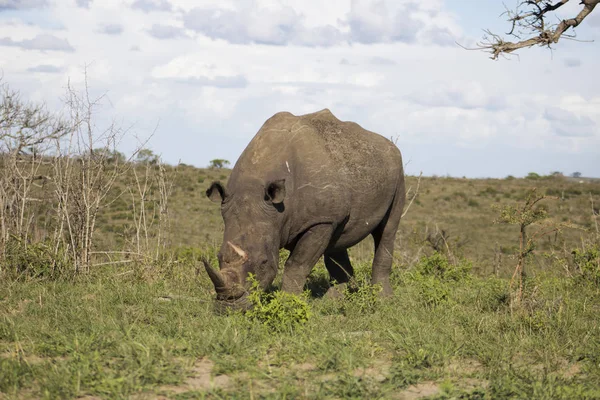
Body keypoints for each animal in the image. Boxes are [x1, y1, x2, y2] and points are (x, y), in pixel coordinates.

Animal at [204, 108, 406, 308]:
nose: (229, 307)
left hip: (397, 172)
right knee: (337, 240)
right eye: (219, 257)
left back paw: (383, 300)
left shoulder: (319, 221)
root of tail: (391, 146)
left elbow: (296, 264)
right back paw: (332, 303)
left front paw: (288, 304)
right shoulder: (321, 218)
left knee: (387, 230)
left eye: (263, 262)